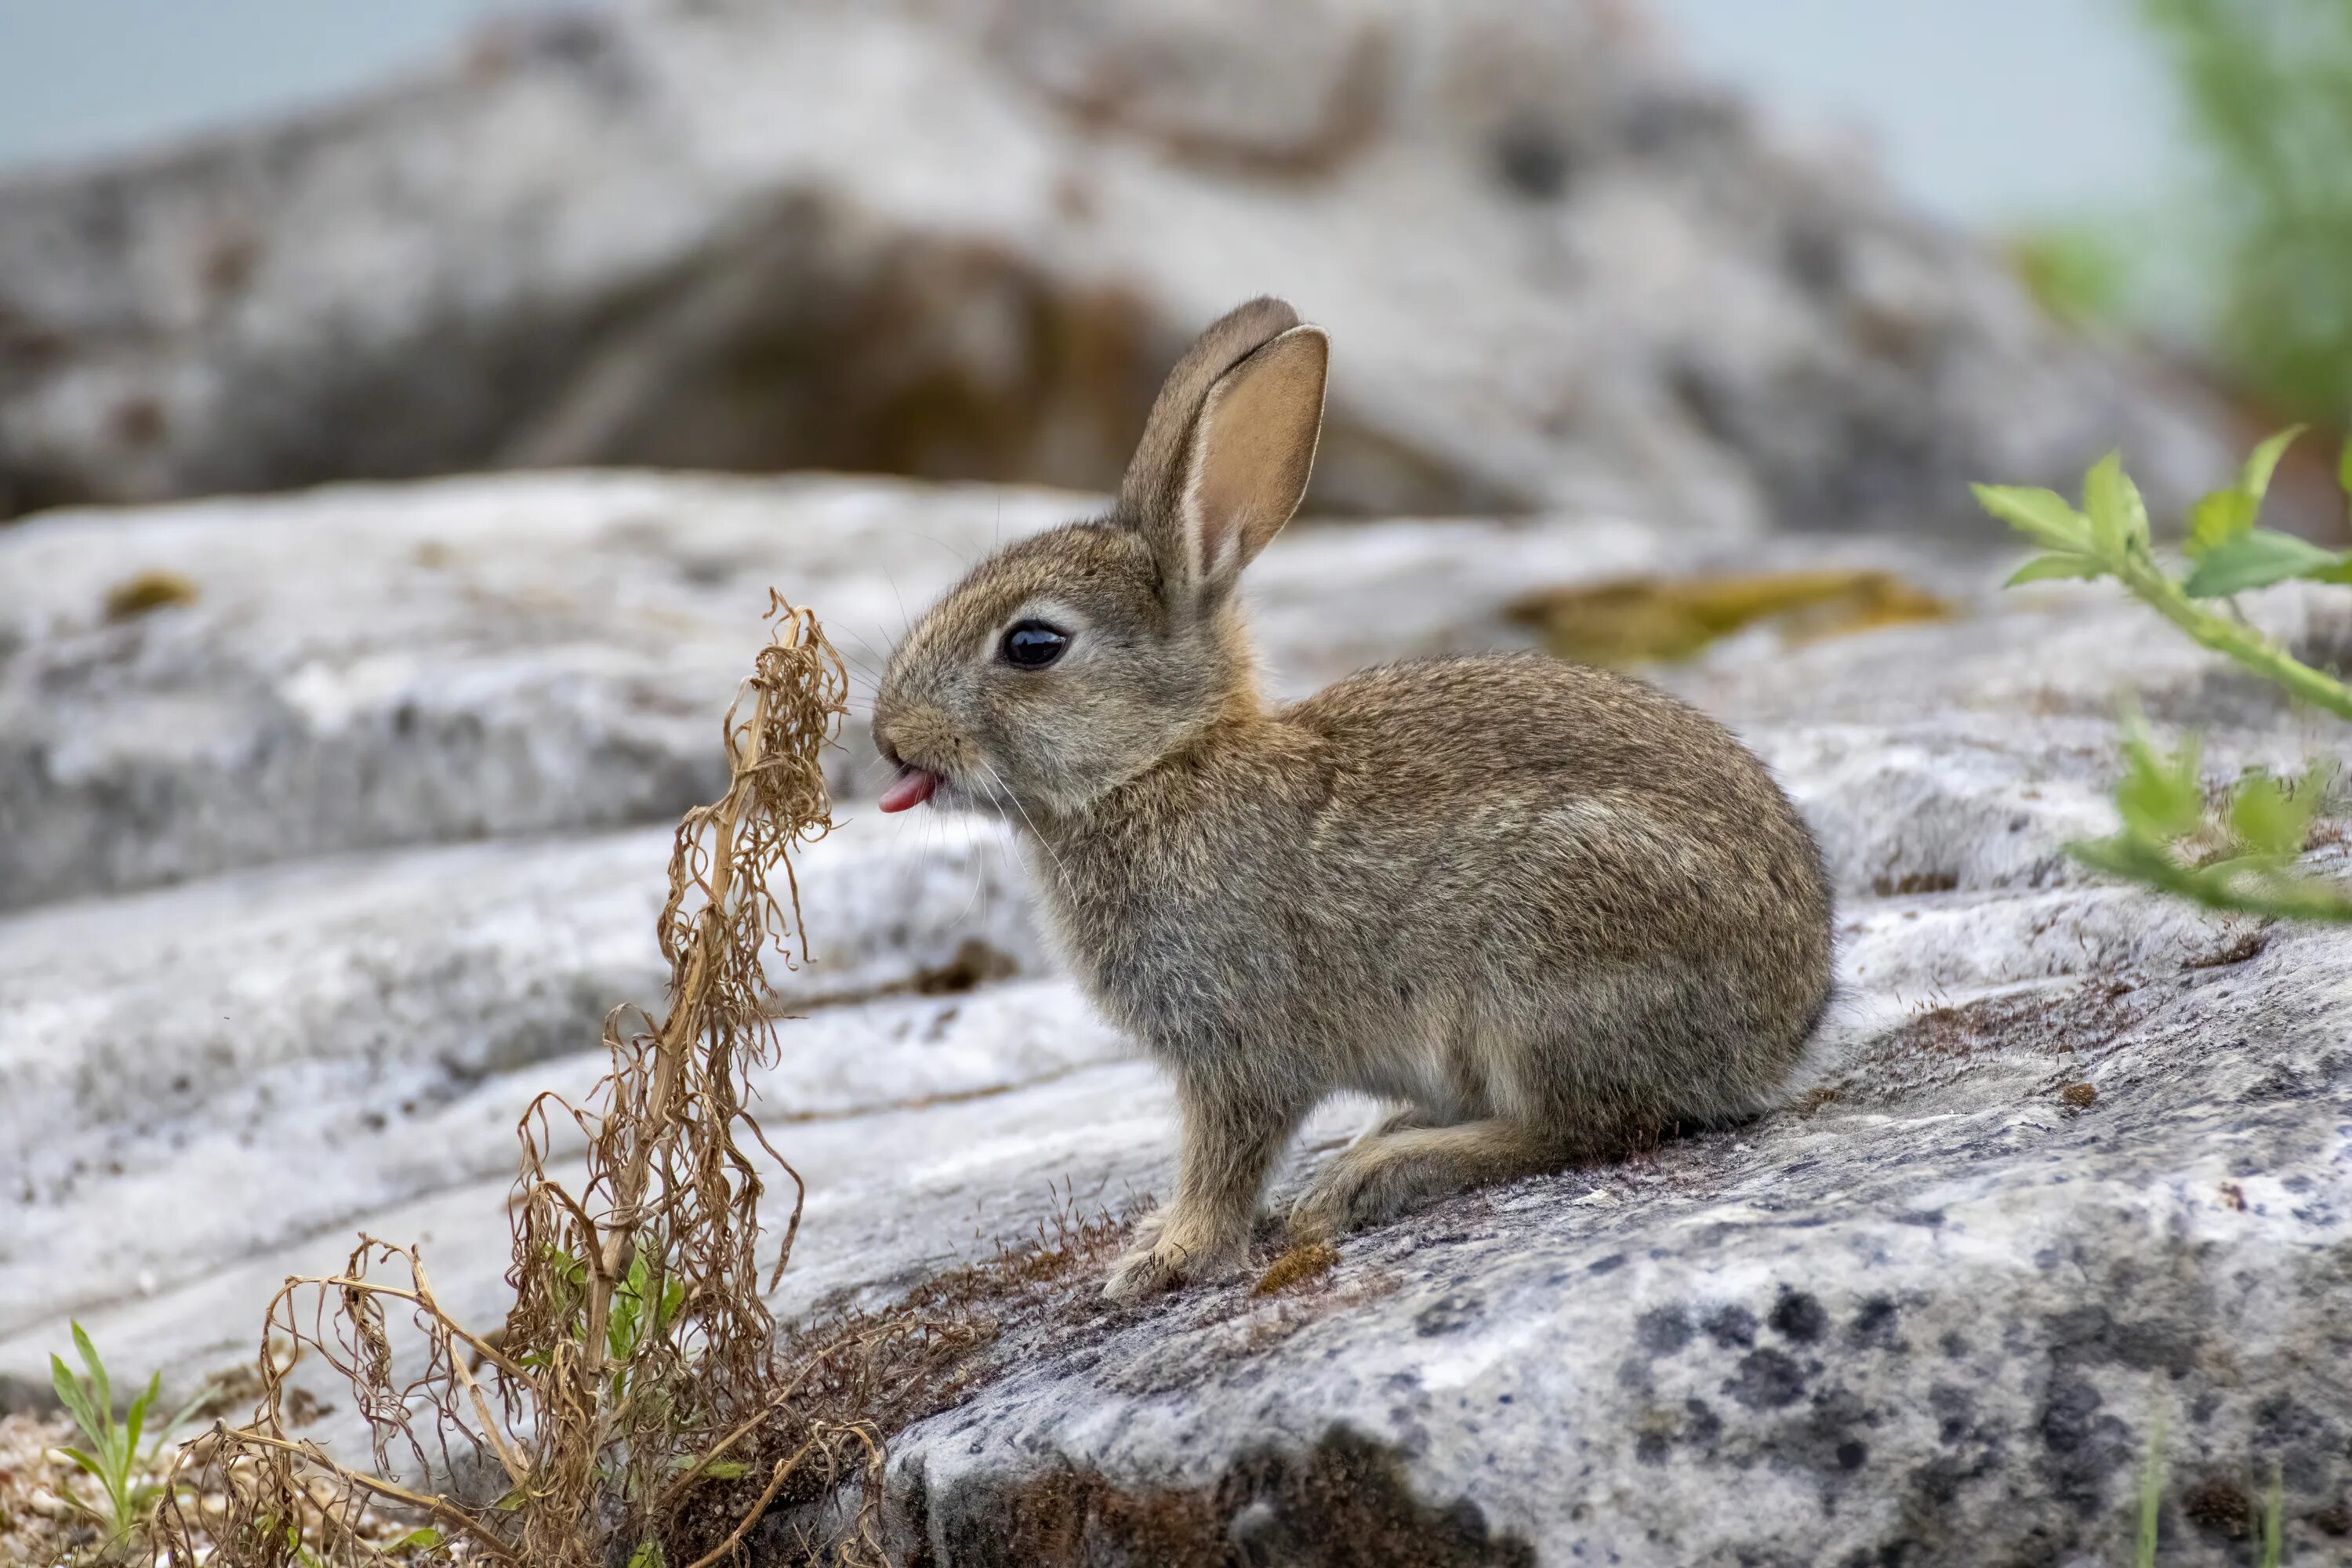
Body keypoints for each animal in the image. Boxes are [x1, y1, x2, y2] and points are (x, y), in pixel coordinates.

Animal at [870, 300, 1835, 1307]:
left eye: (1032, 644)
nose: (889, 736)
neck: (1163, 763)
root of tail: (1782, 1035)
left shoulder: (1240, 1045)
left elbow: (1224, 1157)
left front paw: (1166, 1257)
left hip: (1544, 959)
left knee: (1586, 1125)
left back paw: (1377, 1172)